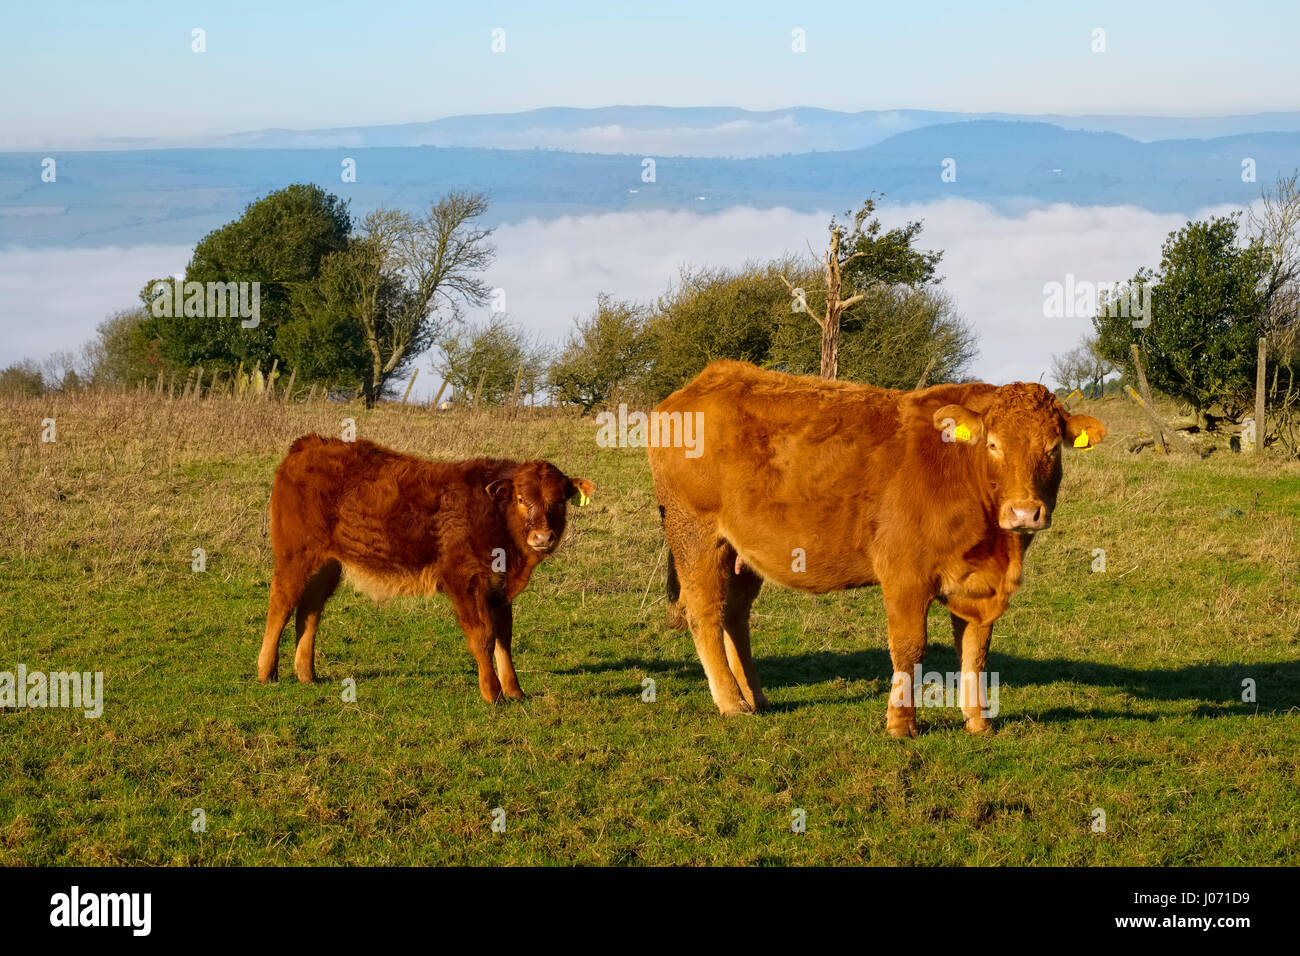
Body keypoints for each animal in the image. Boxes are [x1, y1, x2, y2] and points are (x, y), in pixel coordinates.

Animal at [256, 435, 593, 702]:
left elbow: (504, 639)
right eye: (521, 499)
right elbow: (483, 637)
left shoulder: (500, 590)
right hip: (294, 555)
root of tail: (309, 444)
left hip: (327, 565)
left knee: (309, 611)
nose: (542, 537)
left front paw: (515, 690)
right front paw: (493, 693)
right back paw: (266, 671)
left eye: (559, 501)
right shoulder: (466, 582)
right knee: (281, 603)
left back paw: (306, 673)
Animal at [648, 360, 1105, 736]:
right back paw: (731, 703)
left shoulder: (976, 583)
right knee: (705, 613)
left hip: (742, 552)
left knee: (734, 615)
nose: (1025, 512)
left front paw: (978, 722)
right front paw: (901, 724)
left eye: (1052, 448)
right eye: (993, 444)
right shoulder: (905, 574)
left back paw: (754, 697)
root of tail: (706, 380)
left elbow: (975, 651)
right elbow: (909, 648)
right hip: (695, 533)